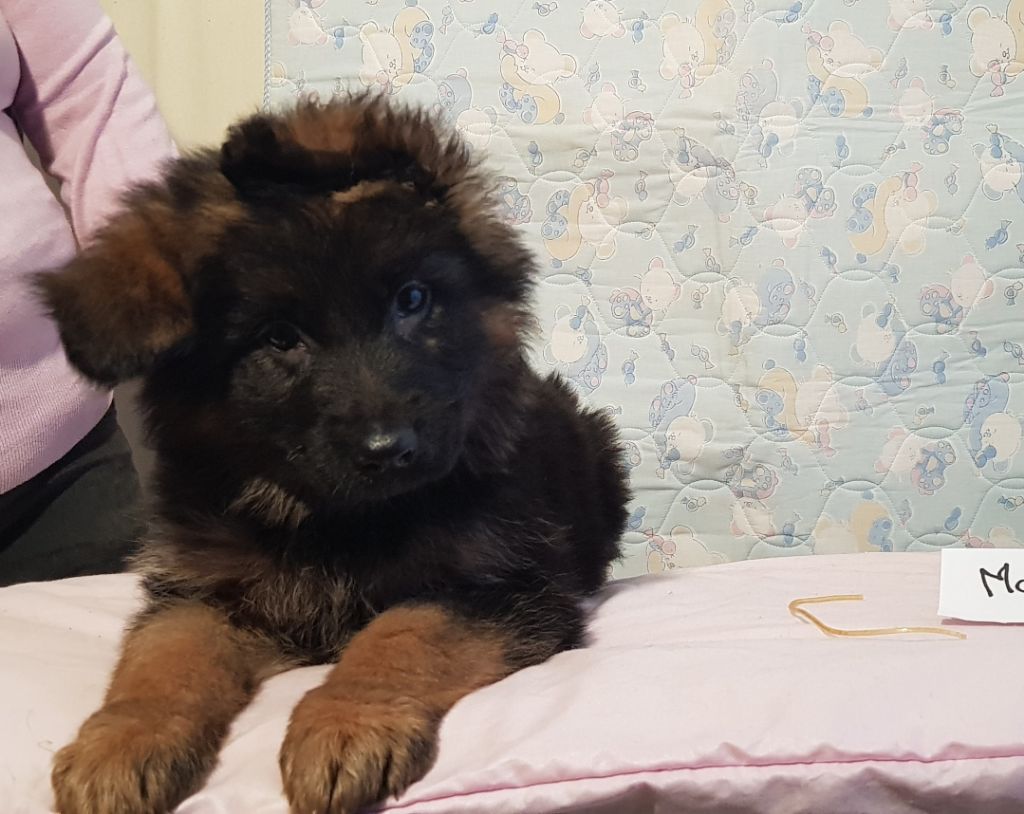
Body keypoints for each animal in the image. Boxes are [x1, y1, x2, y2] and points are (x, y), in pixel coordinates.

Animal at [38, 94, 629, 814]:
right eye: (278, 338)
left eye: (413, 299)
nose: (389, 451)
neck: (333, 519)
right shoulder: (203, 592)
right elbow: (162, 655)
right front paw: (122, 739)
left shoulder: (505, 589)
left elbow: (403, 630)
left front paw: (347, 721)